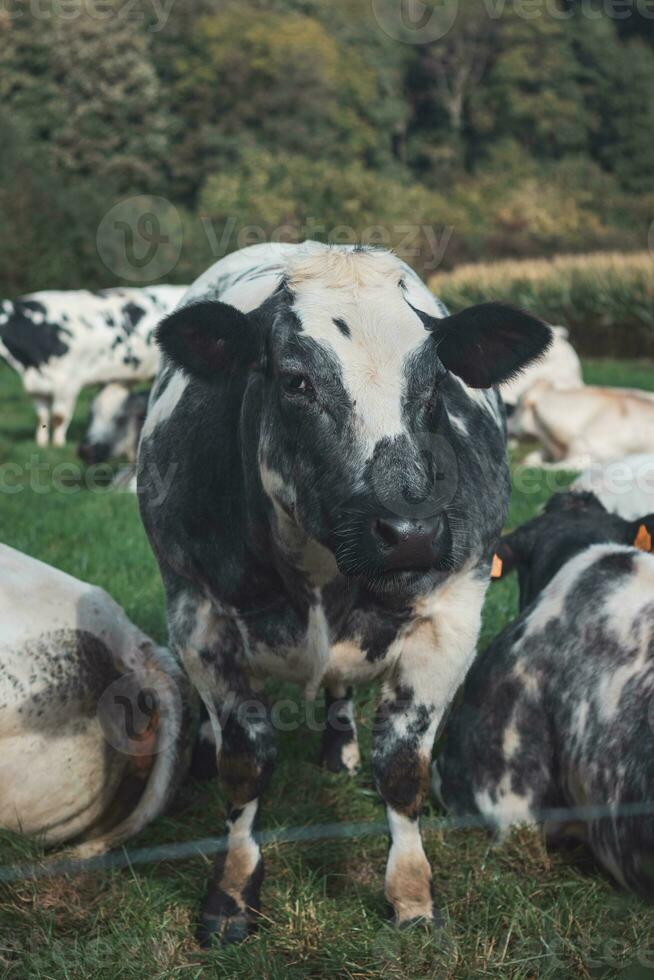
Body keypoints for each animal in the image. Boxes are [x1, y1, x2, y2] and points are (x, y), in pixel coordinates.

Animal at [0, 286, 187, 446]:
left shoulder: (67, 383)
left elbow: (59, 417)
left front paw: (58, 444)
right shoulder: (38, 388)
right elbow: (41, 417)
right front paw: (41, 443)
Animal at [138, 237, 552, 940]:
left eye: (435, 384)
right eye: (296, 381)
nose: (410, 531)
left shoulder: (451, 615)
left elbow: (402, 767)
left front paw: (411, 893)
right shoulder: (198, 611)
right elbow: (246, 763)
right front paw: (231, 891)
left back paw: (339, 746)